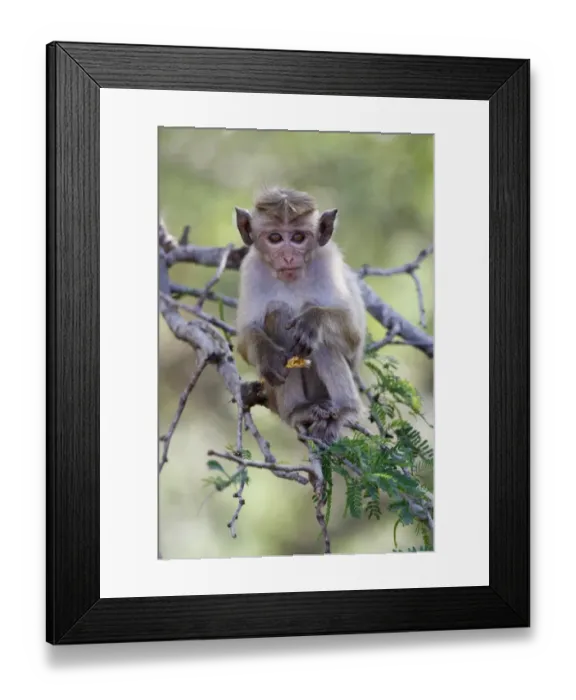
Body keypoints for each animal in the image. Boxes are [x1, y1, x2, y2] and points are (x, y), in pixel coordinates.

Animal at [234, 186, 367, 445]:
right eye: (275, 238)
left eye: (298, 237)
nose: (288, 256)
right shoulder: (251, 269)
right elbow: (245, 337)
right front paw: (267, 355)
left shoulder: (328, 262)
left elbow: (352, 334)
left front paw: (312, 320)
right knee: (276, 313)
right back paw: (298, 410)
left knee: (321, 340)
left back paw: (345, 411)